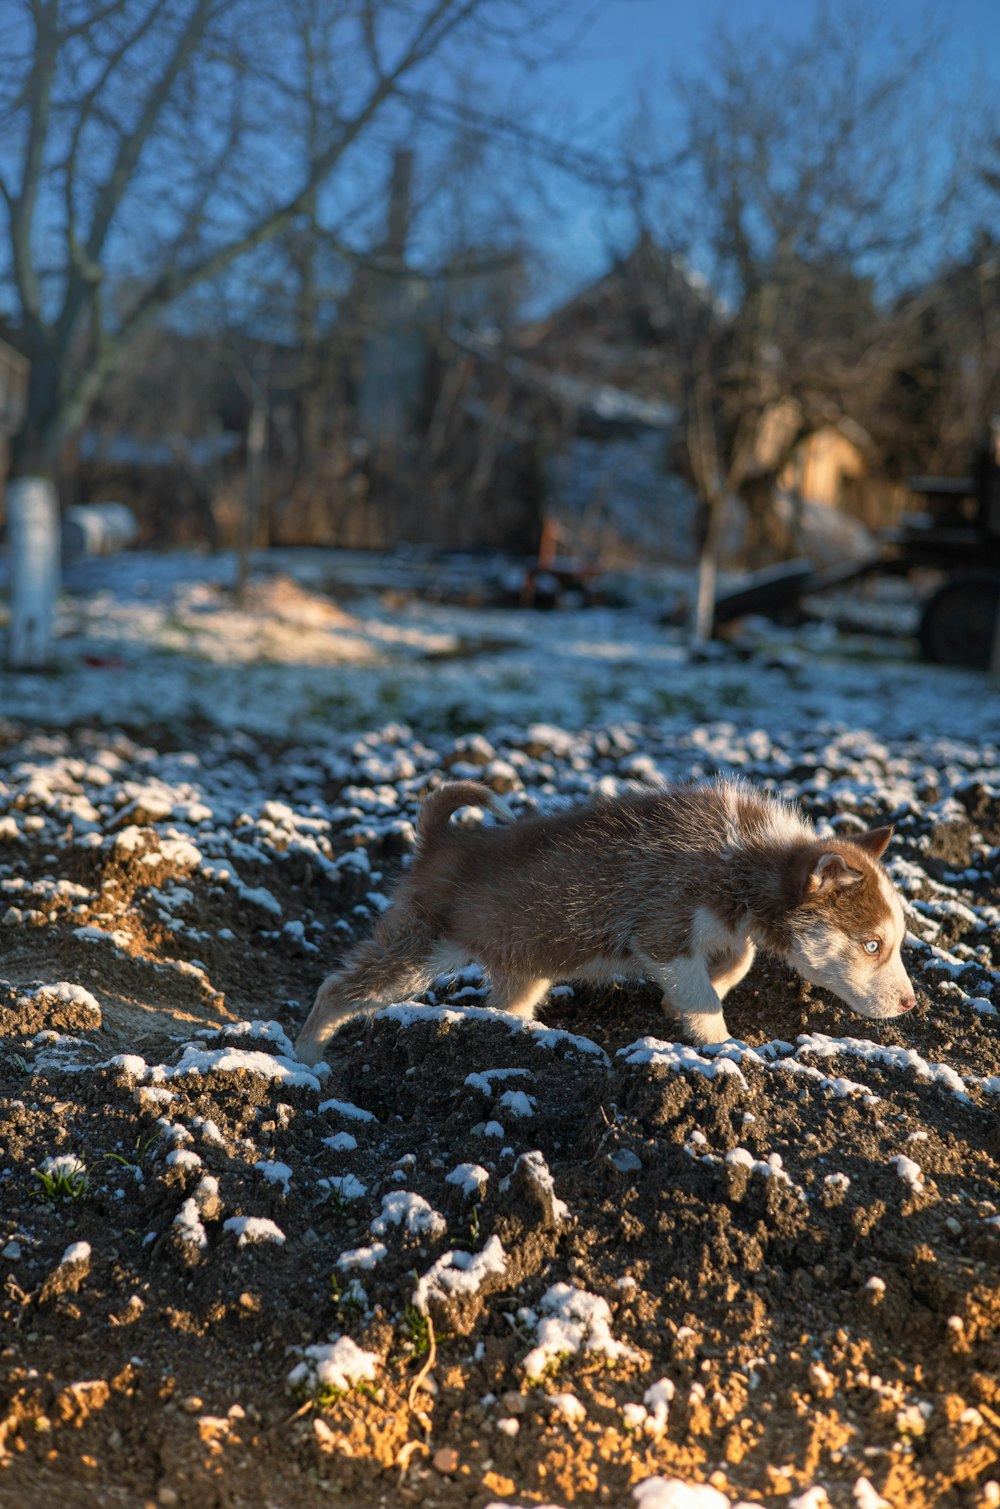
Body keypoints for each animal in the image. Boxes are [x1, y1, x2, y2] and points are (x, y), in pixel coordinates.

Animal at [291, 784, 917, 1068]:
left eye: (892, 943)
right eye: (872, 944)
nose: (912, 1004)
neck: (742, 857)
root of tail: (439, 841)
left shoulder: (715, 930)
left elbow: (734, 960)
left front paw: (700, 996)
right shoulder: (662, 926)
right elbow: (699, 994)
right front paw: (724, 1044)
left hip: (524, 962)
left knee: (506, 1001)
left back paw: (513, 1032)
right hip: (419, 944)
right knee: (341, 987)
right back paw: (306, 1057)